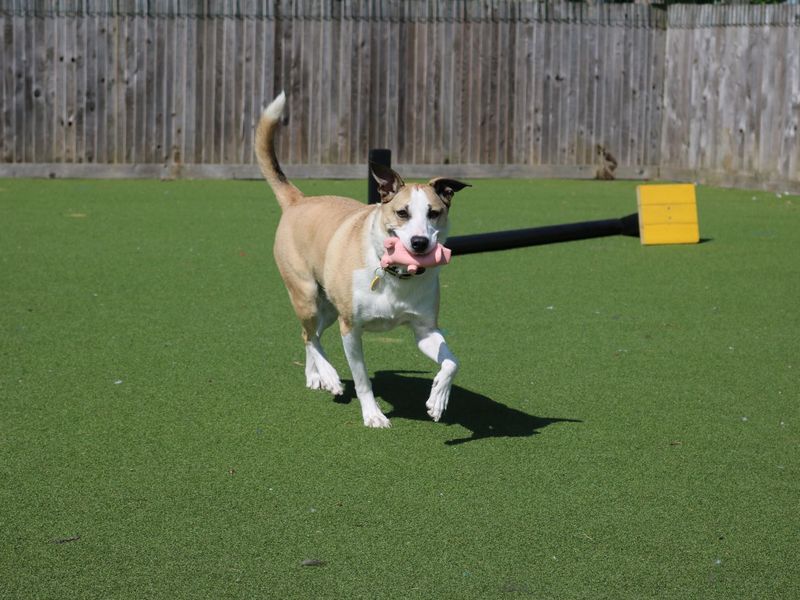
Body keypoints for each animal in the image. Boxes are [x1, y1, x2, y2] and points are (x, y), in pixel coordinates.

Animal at [256, 91, 468, 428]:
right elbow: (362, 379)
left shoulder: (424, 329)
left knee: (311, 334)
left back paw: (315, 376)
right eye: (402, 212)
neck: (394, 275)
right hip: (306, 294)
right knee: (309, 334)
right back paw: (329, 376)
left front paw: (438, 398)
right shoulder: (351, 329)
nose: (419, 243)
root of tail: (298, 201)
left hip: (328, 306)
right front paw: (373, 414)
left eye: (434, 213)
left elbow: (452, 362)